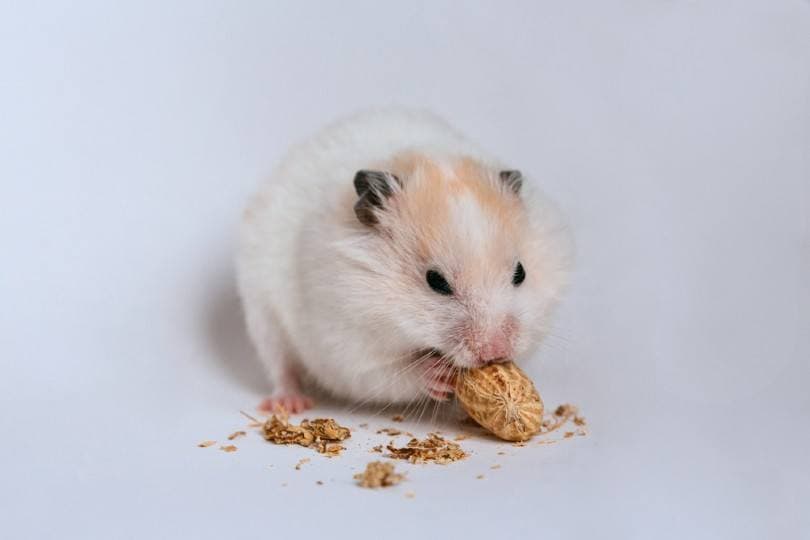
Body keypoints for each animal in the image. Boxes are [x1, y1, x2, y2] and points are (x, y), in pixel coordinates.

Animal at [236, 109, 571, 413]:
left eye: (520, 273)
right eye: (436, 281)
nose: (494, 353)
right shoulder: (345, 344)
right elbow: (389, 373)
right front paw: (436, 374)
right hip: (263, 315)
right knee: (281, 367)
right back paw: (289, 404)